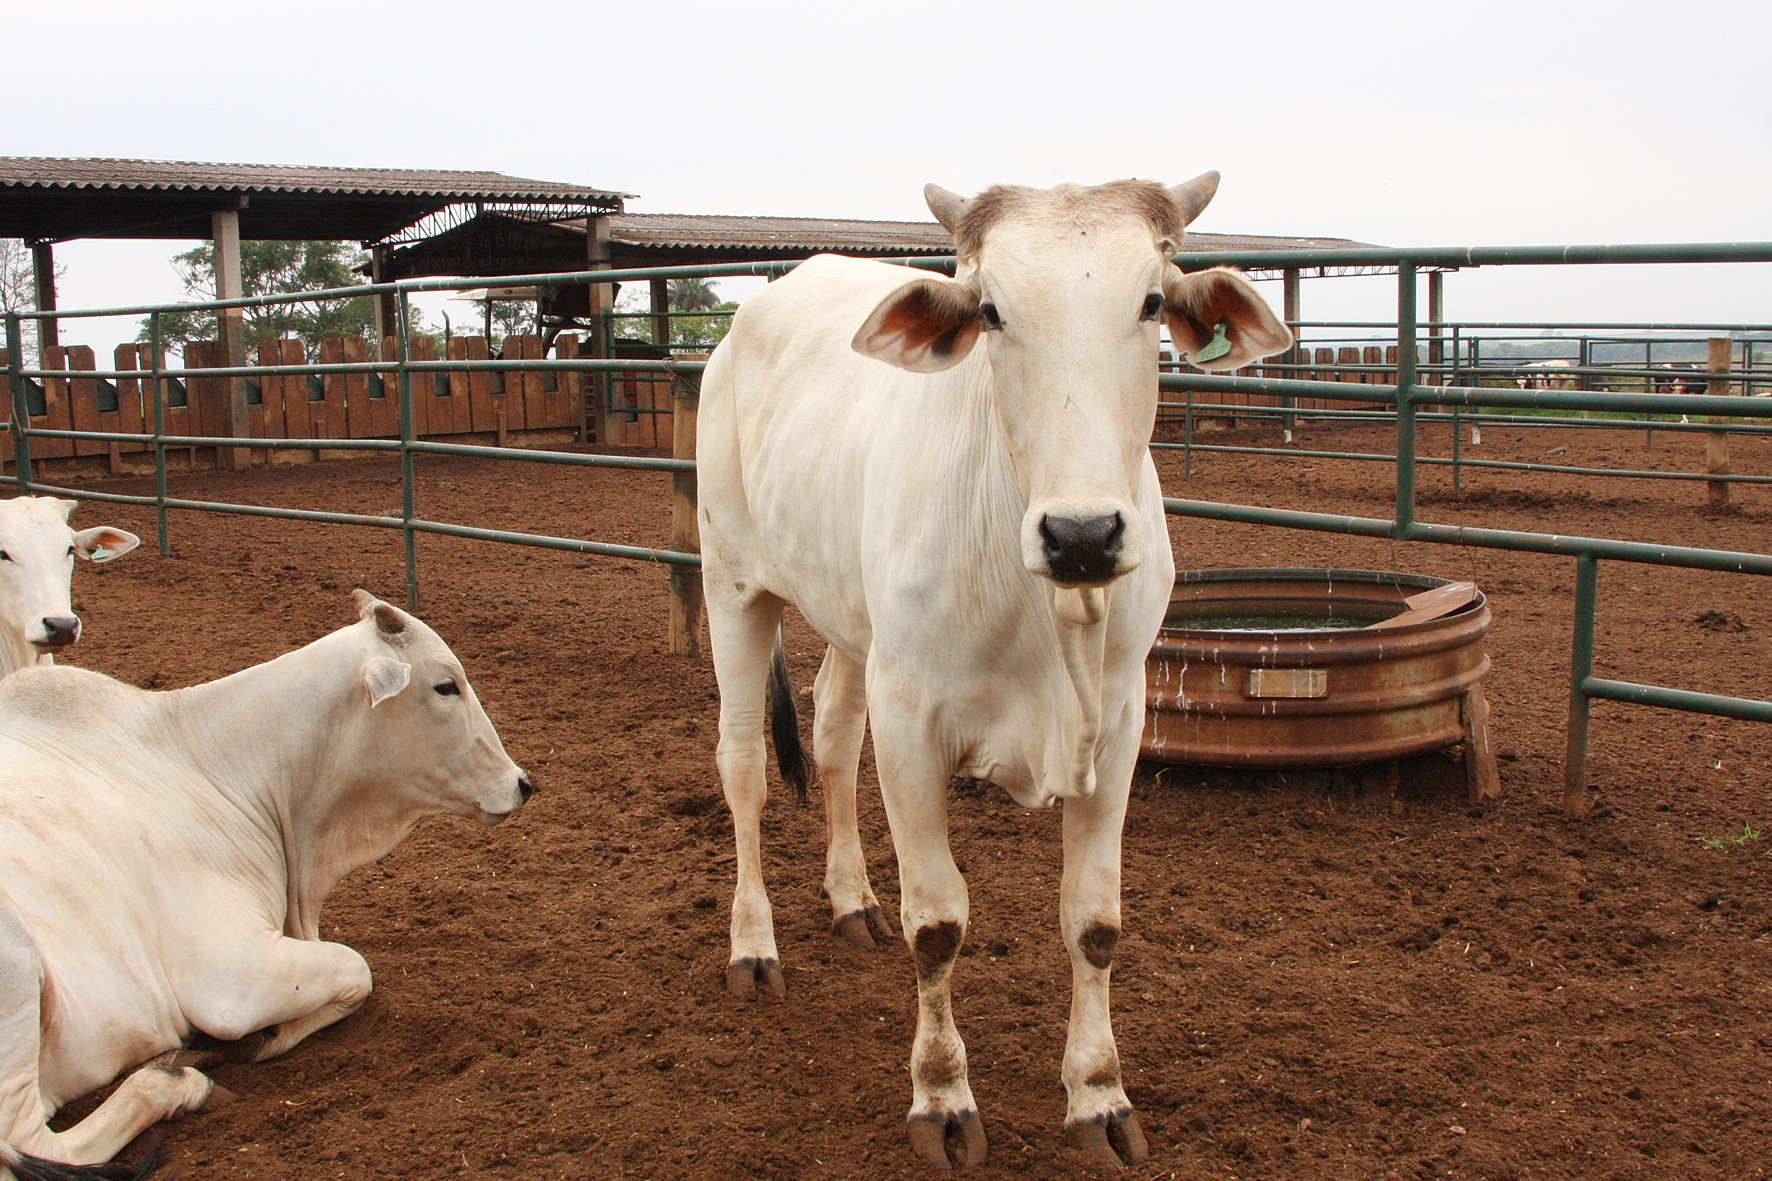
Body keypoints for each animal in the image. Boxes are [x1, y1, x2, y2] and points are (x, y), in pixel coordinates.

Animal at [0, 592, 531, 1170]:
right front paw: (266, 1037)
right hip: (19, 969)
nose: (521, 783)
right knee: (33, 1143)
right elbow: (357, 970)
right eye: (445, 685)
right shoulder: (229, 978)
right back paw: (178, 1083)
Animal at [698, 177, 1297, 1170]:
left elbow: (1094, 920)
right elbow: (939, 922)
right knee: (743, 762)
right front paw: (942, 1097)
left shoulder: (1122, 724)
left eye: (1150, 301)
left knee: (831, 734)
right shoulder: (912, 720)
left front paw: (1099, 1096)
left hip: (853, 628)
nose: (1082, 533)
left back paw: (852, 898)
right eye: (990, 312)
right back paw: (752, 946)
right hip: (732, 583)